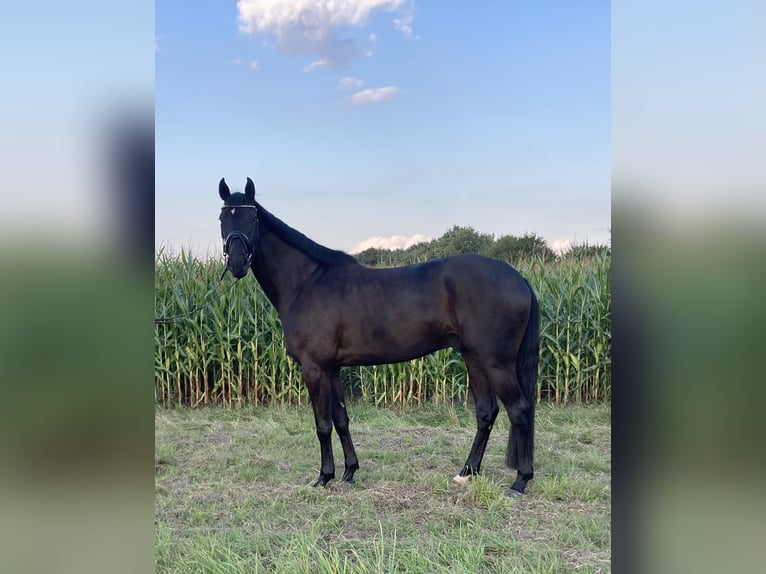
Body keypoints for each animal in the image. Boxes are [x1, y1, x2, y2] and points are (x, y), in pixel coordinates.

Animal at [216, 178, 540, 498]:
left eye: (252, 218)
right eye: (223, 219)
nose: (237, 263)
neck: (308, 283)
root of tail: (519, 278)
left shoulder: (314, 369)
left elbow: (322, 425)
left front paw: (323, 477)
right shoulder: (332, 369)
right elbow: (341, 420)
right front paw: (349, 472)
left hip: (496, 363)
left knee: (519, 411)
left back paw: (520, 481)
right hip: (474, 358)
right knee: (486, 412)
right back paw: (466, 473)